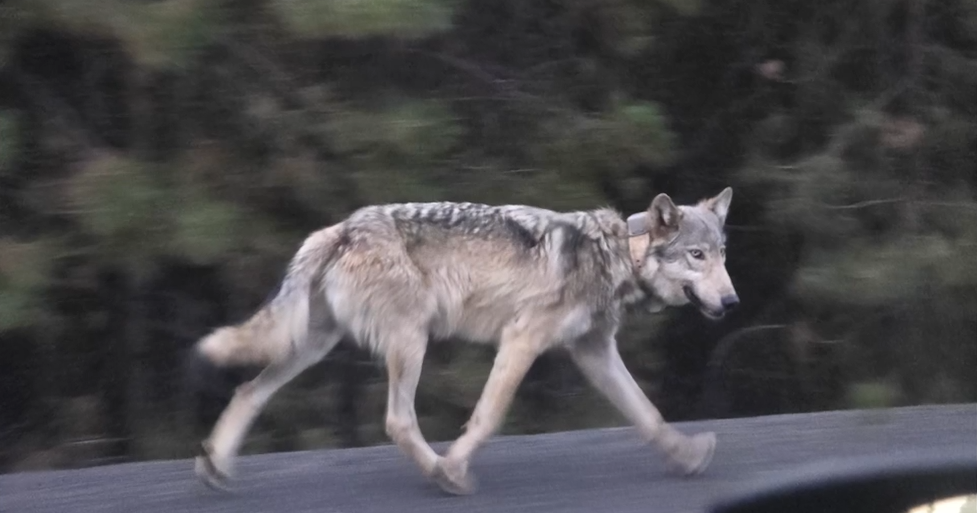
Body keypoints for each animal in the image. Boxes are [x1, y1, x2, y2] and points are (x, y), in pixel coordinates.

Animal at [189, 187, 739, 496]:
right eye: (696, 255)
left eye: (722, 254)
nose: (733, 301)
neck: (619, 253)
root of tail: (340, 228)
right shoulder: (521, 340)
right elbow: (488, 418)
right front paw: (454, 466)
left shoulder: (595, 352)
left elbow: (649, 415)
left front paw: (687, 457)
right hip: (410, 341)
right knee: (397, 421)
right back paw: (441, 473)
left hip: (313, 345)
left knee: (248, 391)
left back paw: (215, 464)